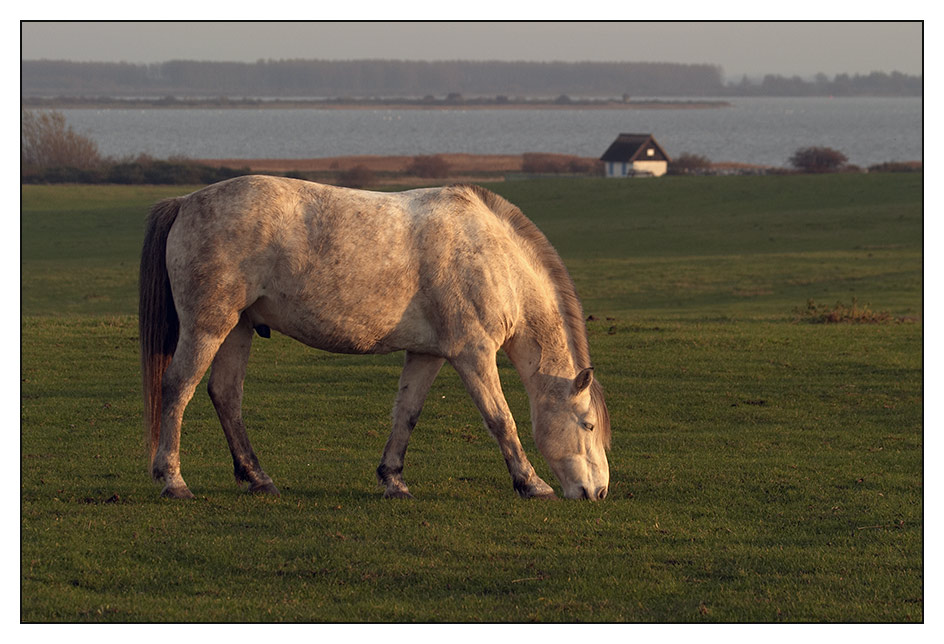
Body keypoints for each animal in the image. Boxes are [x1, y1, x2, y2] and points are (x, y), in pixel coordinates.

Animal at [140, 176, 612, 504]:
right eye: (587, 425)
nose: (599, 491)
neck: (492, 257)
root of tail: (185, 203)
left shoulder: (427, 354)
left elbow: (406, 414)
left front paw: (394, 480)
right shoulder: (473, 354)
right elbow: (501, 420)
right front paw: (531, 483)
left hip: (237, 328)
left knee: (226, 395)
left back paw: (258, 478)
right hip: (208, 326)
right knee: (178, 388)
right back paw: (173, 481)